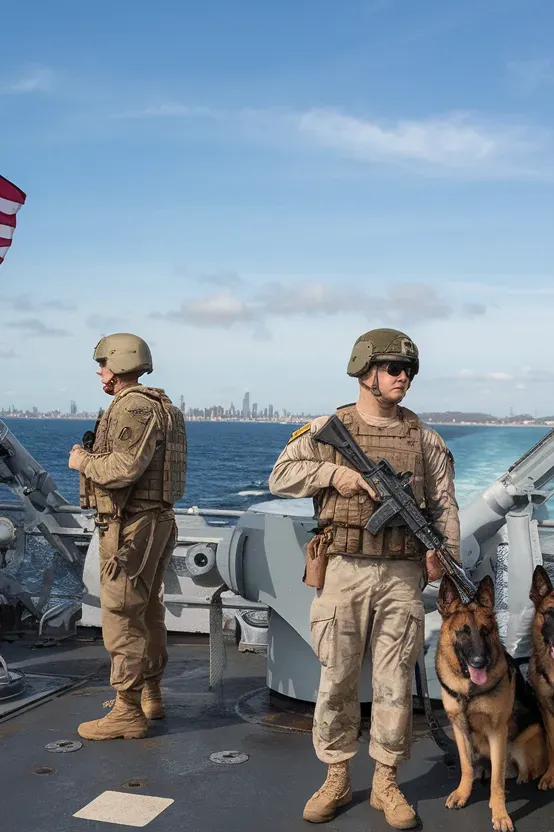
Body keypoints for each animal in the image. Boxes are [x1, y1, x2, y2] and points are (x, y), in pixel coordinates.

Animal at [436, 576, 548, 828]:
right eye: (464, 632)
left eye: (486, 632)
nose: (480, 662)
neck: (468, 689)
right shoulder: (459, 728)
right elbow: (466, 765)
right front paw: (463, 793)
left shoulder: (497, 732)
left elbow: (497, 779)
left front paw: (500, 813)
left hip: (524, 739)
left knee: (523, 769)